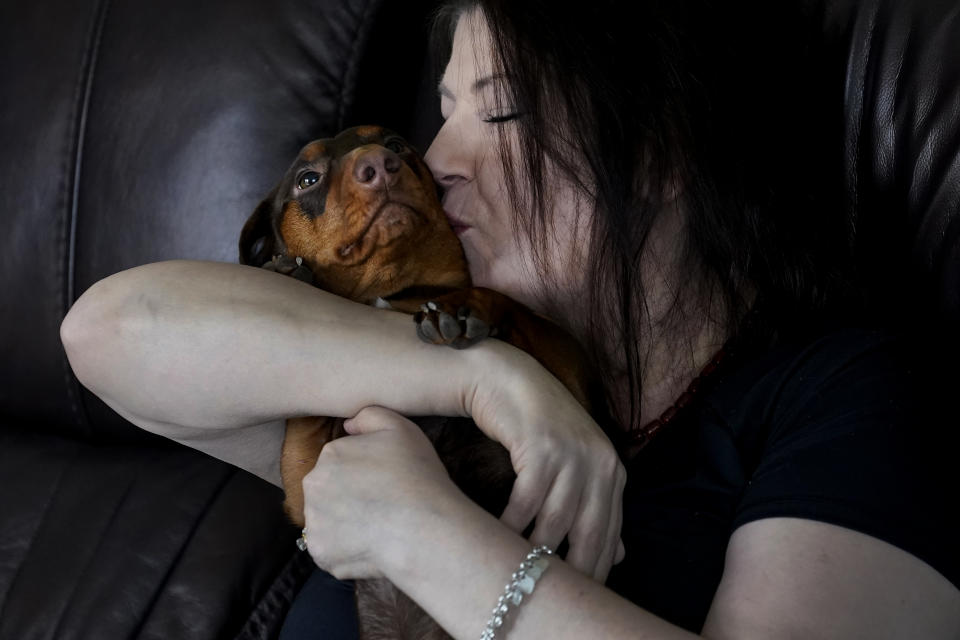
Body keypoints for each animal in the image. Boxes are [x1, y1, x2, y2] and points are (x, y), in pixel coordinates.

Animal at [238, 125, 600, 640]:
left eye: (395, 143)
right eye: (308, 178)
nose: (379, 163)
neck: (393, 292)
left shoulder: (577, 379)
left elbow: (510, 304)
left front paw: (462, 306)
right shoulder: (304, 484)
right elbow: (305, 422)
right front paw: (292, 276)